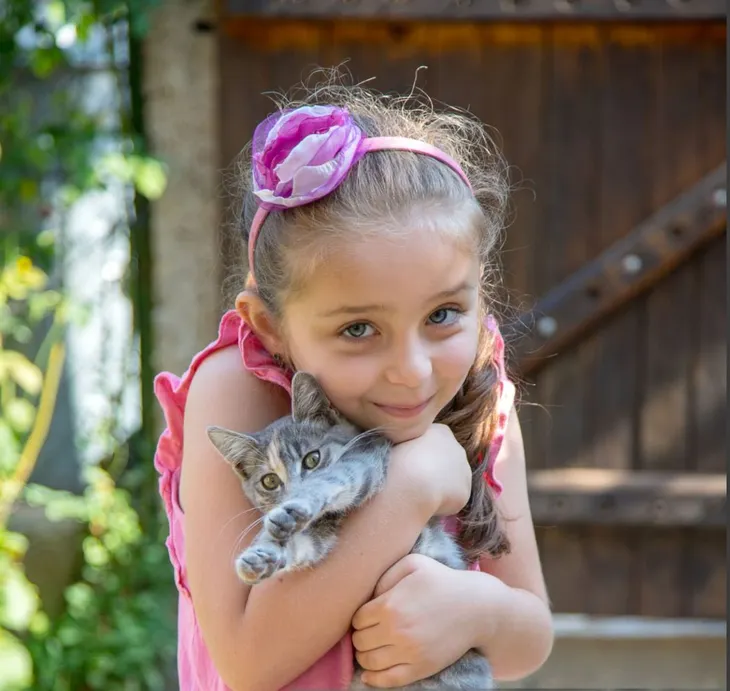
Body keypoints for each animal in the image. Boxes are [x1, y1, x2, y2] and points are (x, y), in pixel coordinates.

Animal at [208, 370, 498, 688]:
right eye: (269, 481)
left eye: (312, 459)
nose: (292, 493)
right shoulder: (320, 534)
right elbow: (306, 545)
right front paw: (261, 555)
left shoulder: (366, 462)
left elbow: (334, 479)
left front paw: (297, 505)